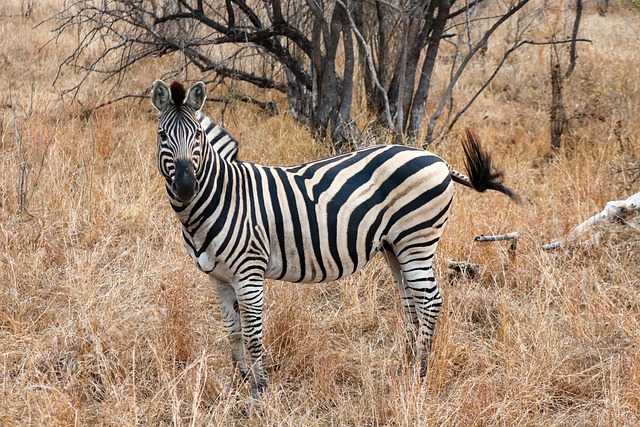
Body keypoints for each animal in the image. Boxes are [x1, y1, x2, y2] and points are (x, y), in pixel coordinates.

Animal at [150, 80, 519, 398]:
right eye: (162, 134)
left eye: (198, 136)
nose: (186, 186)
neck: (221, 197)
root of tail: (438, 160)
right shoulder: (217, 278)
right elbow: (233, 331)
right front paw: (239, 382)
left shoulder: (249, 272)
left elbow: (253, 333)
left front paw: (258, 391)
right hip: (395, 247)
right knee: (411, 303)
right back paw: (405, 368)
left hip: (416, 240)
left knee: (430, 300)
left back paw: (421, 375)